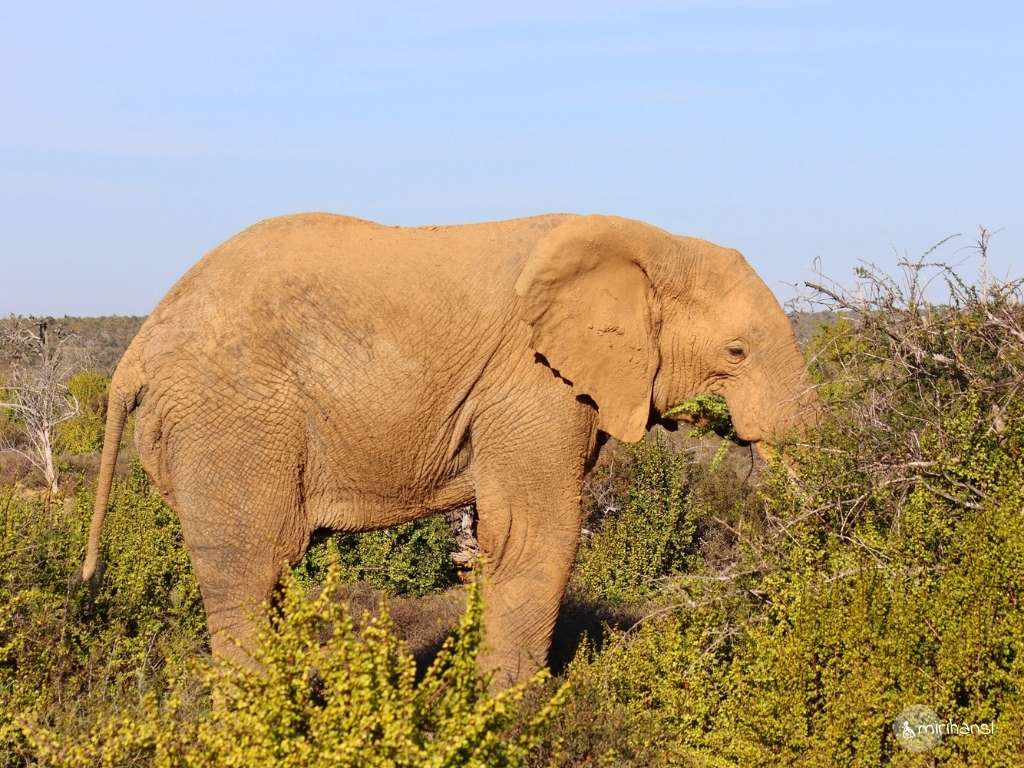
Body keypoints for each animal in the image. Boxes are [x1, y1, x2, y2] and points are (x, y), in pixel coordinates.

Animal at [80, 213, 819, 684]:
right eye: (736, 352)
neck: (653, 242)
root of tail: (138, 346)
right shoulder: (532, 380)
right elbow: (535, 533)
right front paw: (513, 714)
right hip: (233, 417)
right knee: (252, 568)